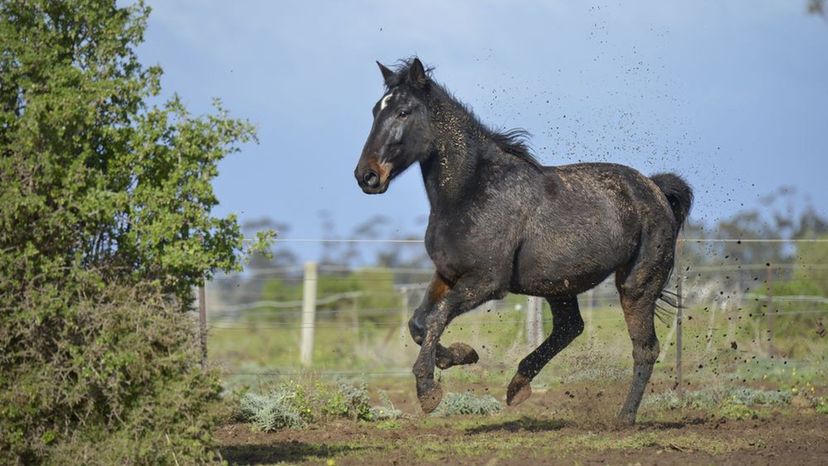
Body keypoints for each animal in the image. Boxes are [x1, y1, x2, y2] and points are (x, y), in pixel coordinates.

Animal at [352, 56, 688, 424]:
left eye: (403, 112)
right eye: (375, 110)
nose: (367, 176)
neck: (471, 192)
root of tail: (655, 189)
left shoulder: (487, 282)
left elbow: (437, 316)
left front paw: (428, 390)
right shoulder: (447, 274)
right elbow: (418, 322)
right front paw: (461, 355)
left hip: (636, 286)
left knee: (644, 348)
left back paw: (624, 417)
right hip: (559, 285)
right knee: (570, 327)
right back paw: (518, 384)